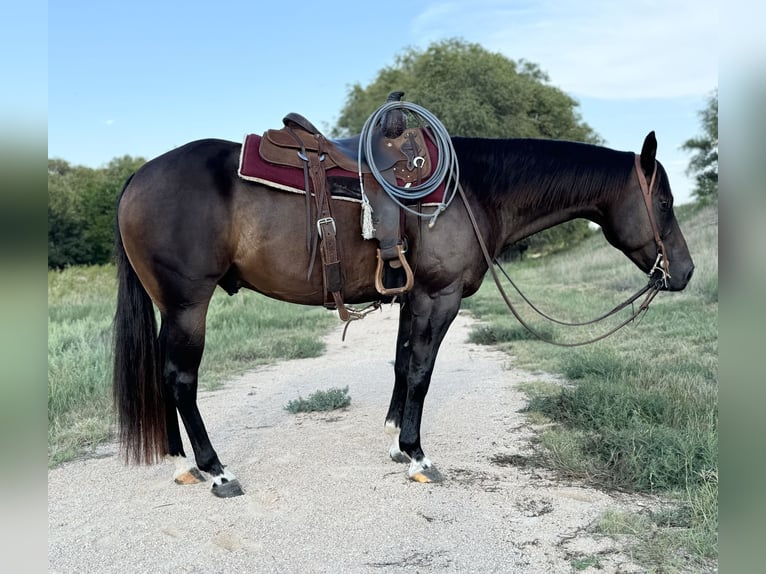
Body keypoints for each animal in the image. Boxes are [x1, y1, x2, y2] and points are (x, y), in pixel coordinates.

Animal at [112, 128, 696, 498]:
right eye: (664, 203)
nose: (685, 272)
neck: (472, 192)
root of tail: (137, 177)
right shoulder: (439, 297)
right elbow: (420, 371)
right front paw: (417, 455)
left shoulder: (412, 300)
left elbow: (401, 364)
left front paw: (396, 442)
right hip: (189, 305)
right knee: (181, 379)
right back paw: (214, 470)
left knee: (167, 377)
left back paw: (184, 461)